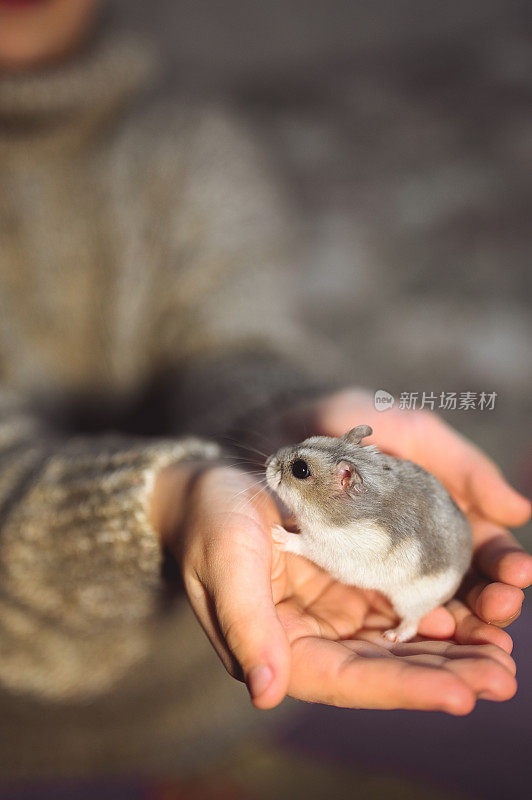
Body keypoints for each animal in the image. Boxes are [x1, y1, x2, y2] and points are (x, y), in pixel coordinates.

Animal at [268, 424, 472, 644]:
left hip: (411, 599)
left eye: (300, 469)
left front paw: (275, 532)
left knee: (412, 624)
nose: (268, 461)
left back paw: (391, 635)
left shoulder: (327, 548)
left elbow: (301, 544)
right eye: (307, 439)